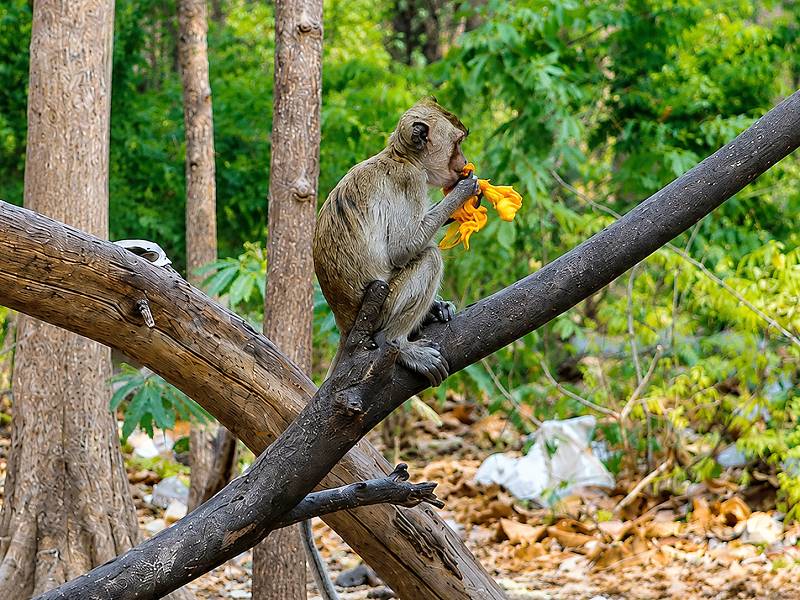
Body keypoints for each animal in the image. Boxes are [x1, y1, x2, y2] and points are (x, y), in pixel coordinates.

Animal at [313, 97, 478, 387]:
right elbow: (402, 249)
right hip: (383, 306)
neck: (402, 156)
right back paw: (395, 342)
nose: (465, 161)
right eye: (457, 143)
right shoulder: (409, 181)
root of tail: (345, 323)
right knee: (430, 257)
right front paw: (463, 191)